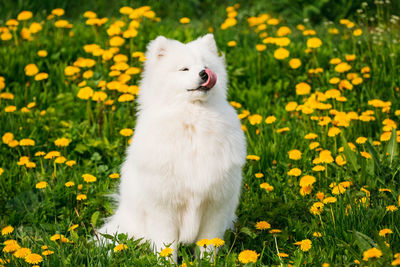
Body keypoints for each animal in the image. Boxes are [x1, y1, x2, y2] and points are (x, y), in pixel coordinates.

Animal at [98, 34, 245, 262]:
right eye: (184, 69)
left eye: (206, 66)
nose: (204, 73)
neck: (193, 121)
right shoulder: (163, 207)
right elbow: (166, 246)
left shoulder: (216, 205)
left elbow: (208, 244)